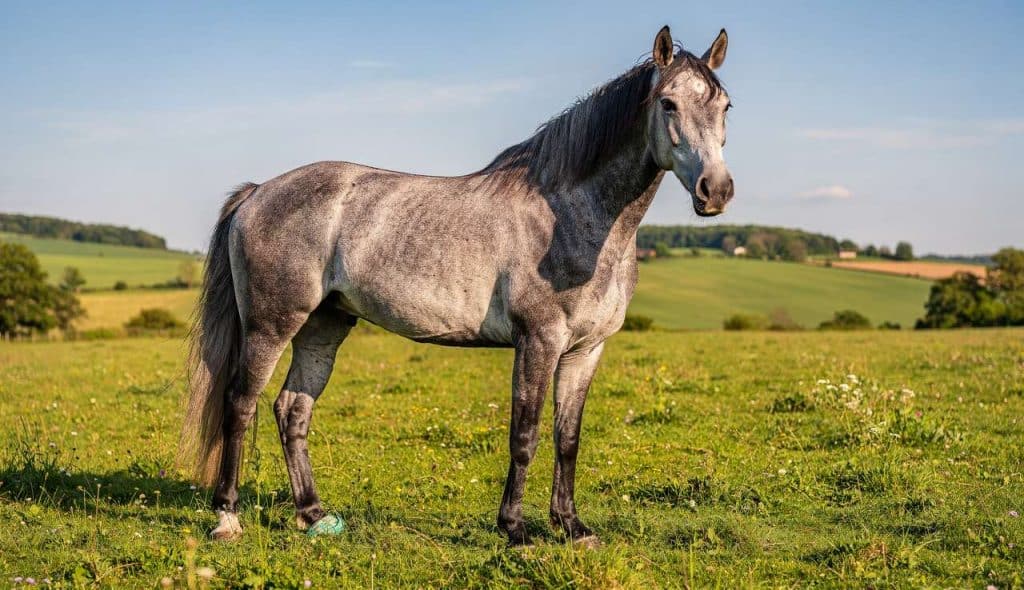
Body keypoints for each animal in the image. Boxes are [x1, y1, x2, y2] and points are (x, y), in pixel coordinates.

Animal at [179, 25, 734, 547]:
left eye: (725, 105)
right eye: (667, 102)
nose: (717, 191)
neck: (571, 216)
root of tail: (259, 192)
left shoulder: (586, 349)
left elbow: (568, 438)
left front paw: (573, 527)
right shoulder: (539, 341)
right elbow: (525, 435)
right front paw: (515, 529)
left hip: (324, 326)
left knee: (292, 410)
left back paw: (314, 515)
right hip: (270, 326)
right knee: (240, 404)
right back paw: (227, 518)